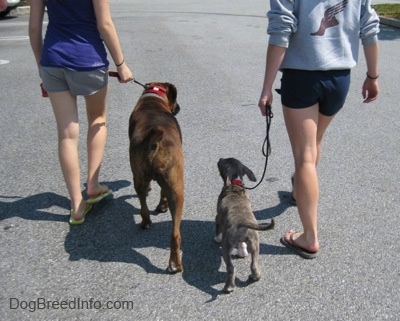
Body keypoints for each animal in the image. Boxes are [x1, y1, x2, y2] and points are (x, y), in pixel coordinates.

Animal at [128, 82, 184, 272]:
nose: (178, 108)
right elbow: (162, 192)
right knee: (175, 234)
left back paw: (146, 222)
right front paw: (162, 206)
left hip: (140, 177)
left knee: (143, 203)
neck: (153, 98)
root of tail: (154, 140)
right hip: (177, 189)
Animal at [216, 158, 276, 292]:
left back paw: (229, 287)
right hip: (255, 244)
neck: (234, 184)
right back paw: (255, 276)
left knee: (231, 268)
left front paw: (216, 238)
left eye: (223, 162)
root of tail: (241, 224)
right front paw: (242, 252)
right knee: (253, 264)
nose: (220, 159)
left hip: (226, 248)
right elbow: (241, 245)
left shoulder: (217, 217)